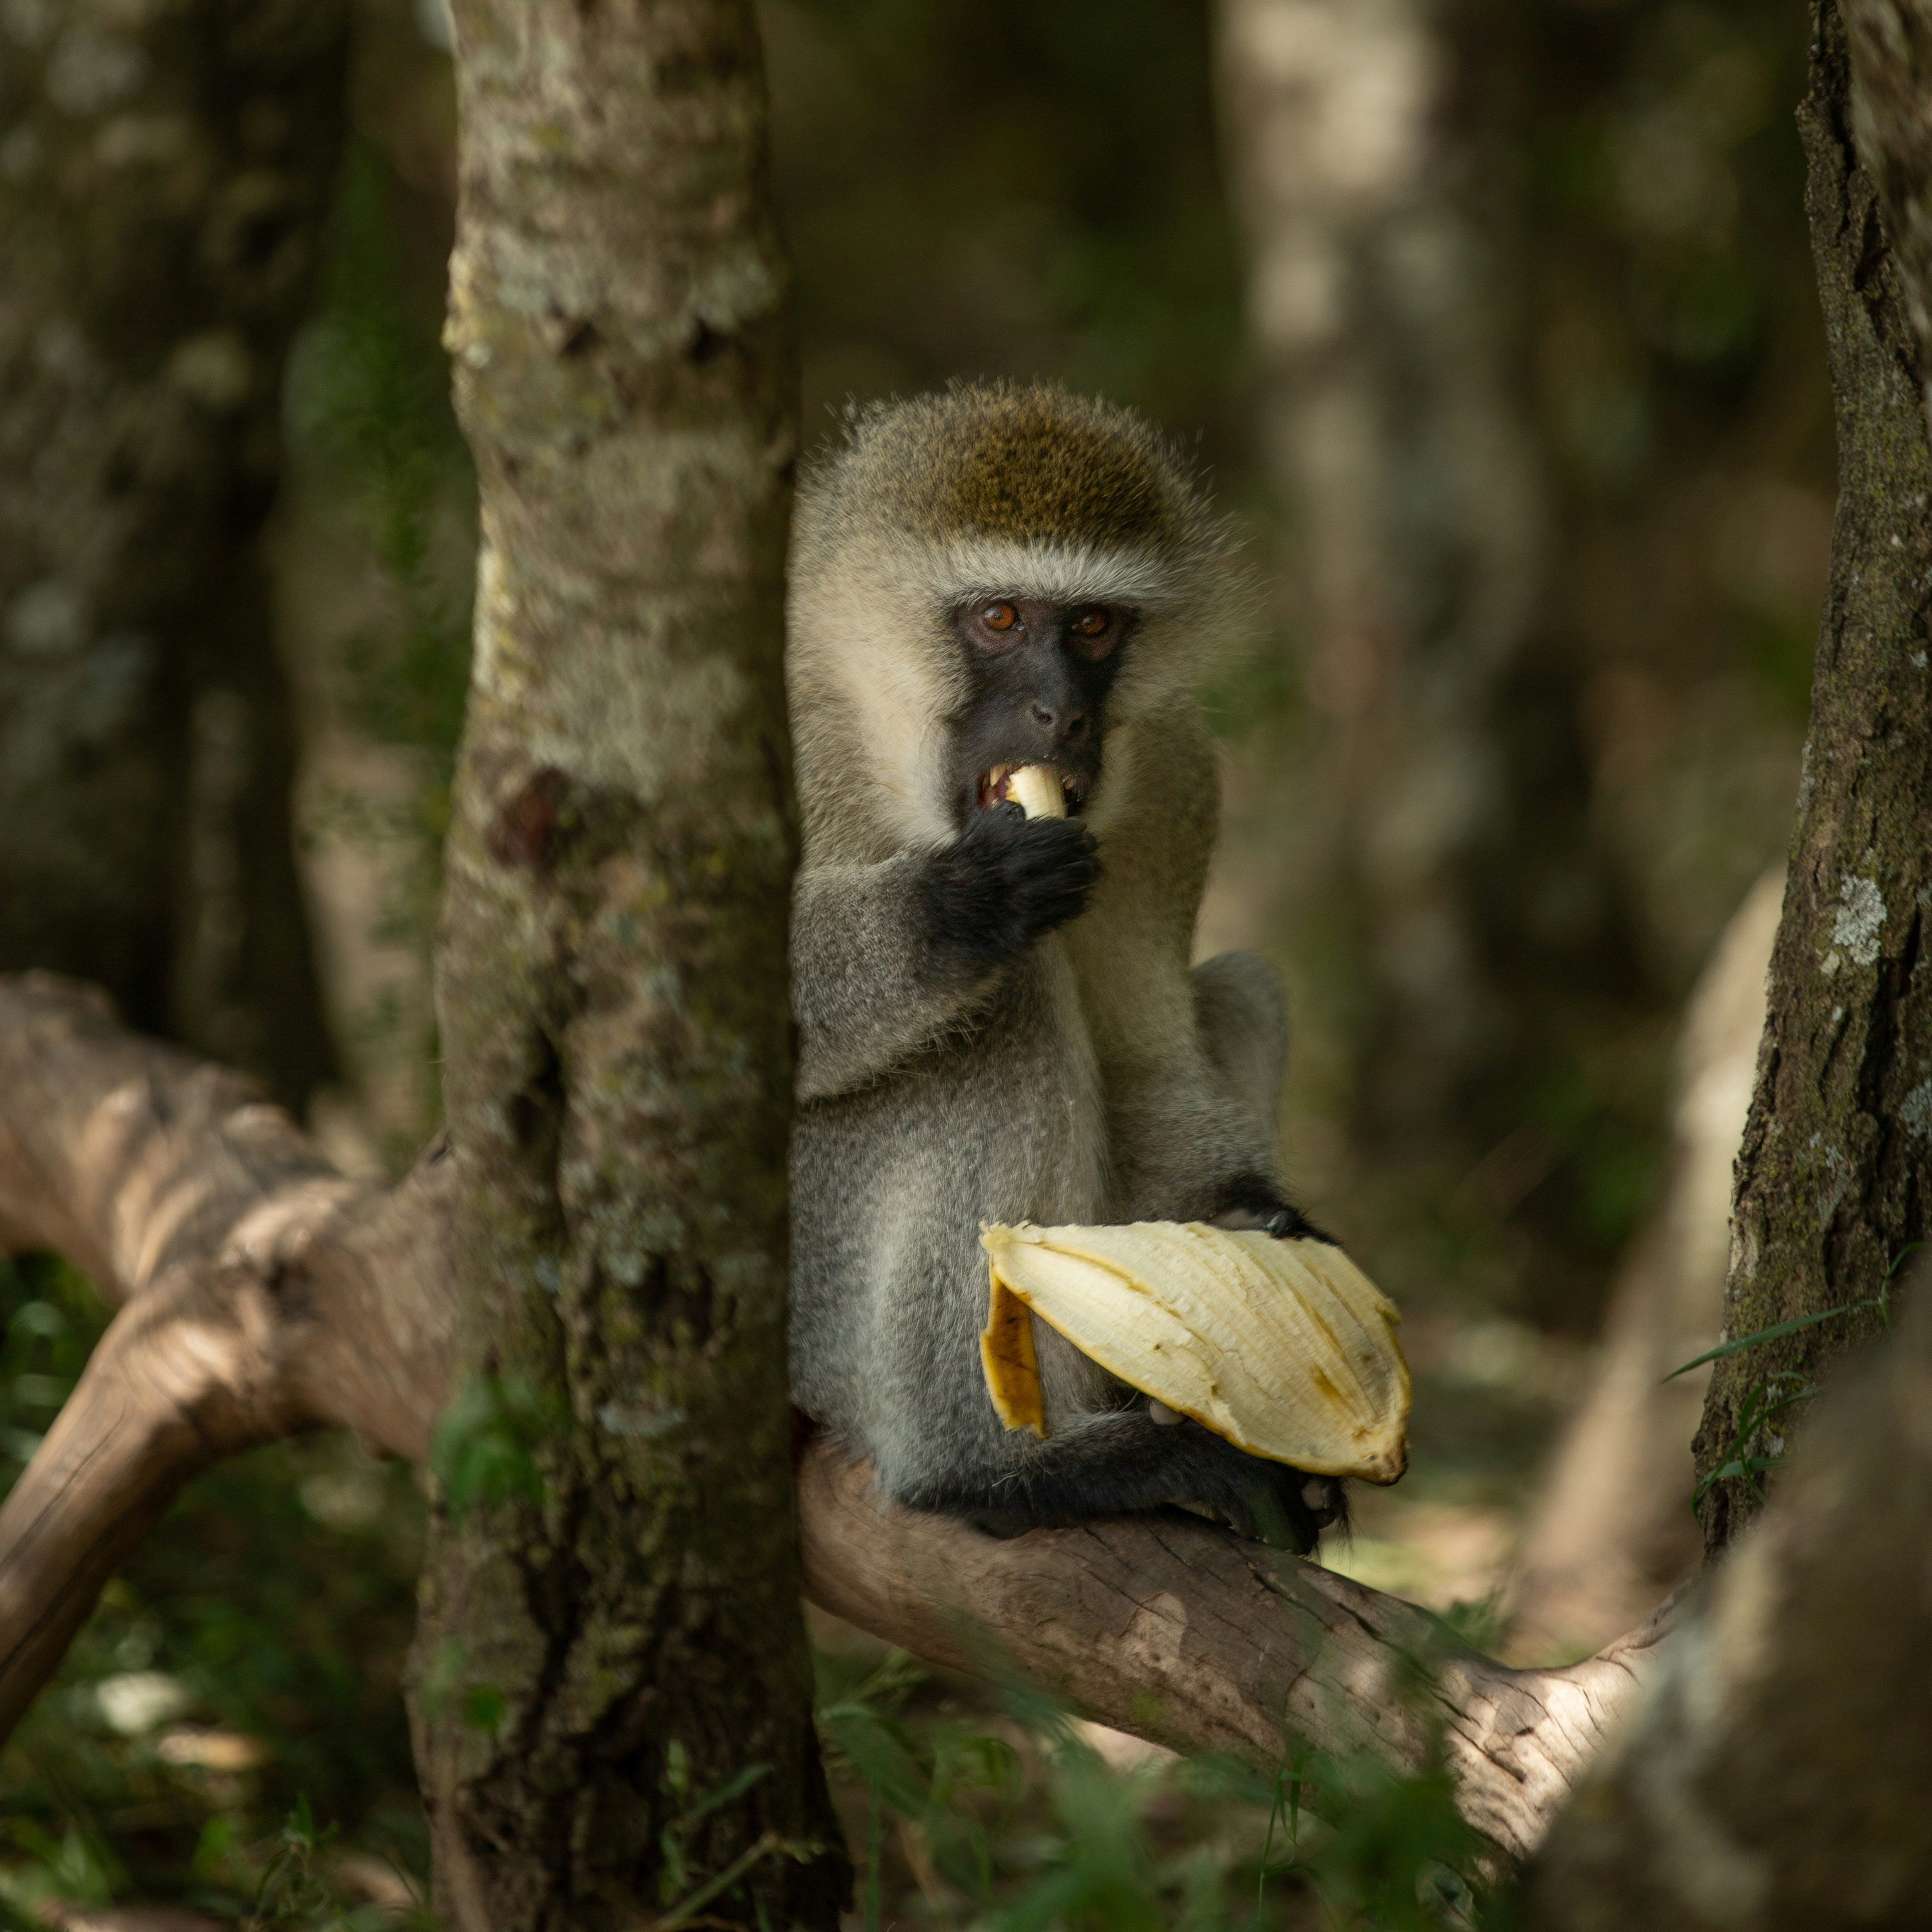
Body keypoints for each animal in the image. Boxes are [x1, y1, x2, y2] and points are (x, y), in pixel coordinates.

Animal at [785, 381, 1347, 1553]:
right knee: (1004, 1017)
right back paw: (986, 1472)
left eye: (1092, 626)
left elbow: (1148, 1064)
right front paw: (960, 906)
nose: (1064, 713)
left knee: (1242, 989)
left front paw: (1257, 1229)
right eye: (1000, 620)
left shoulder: (1178, 775)